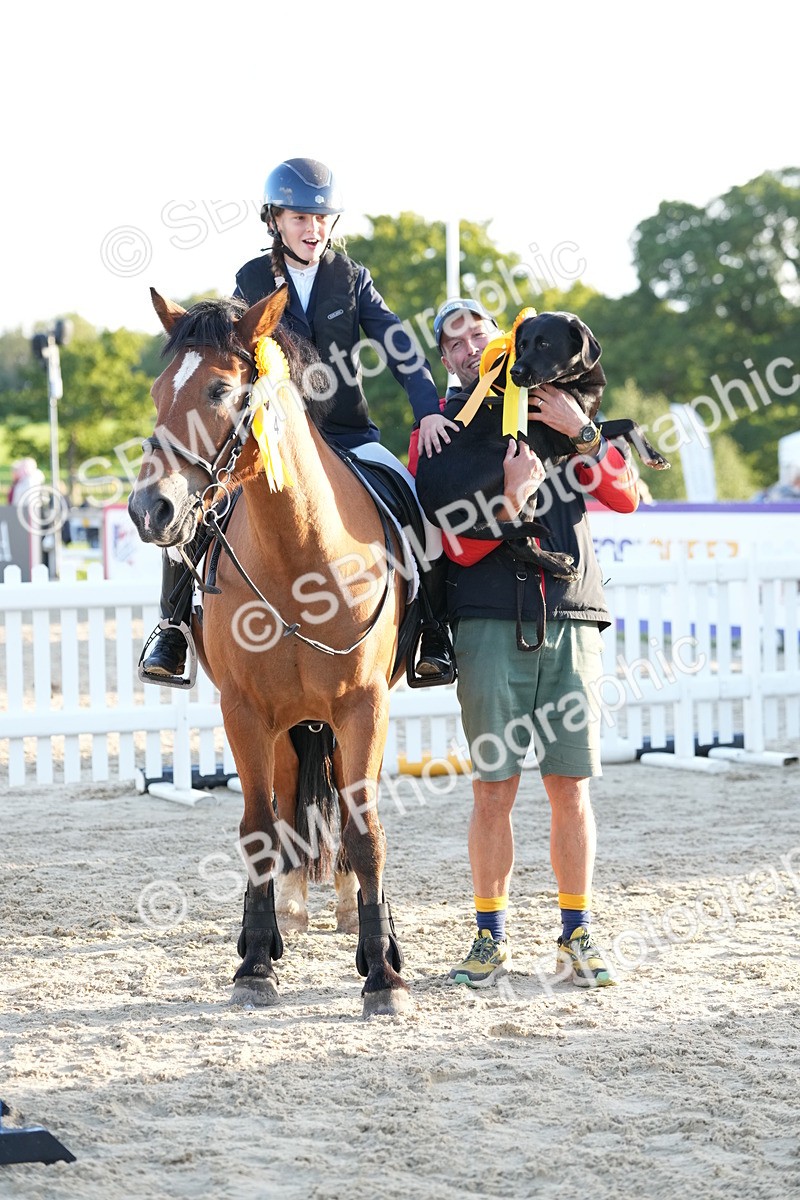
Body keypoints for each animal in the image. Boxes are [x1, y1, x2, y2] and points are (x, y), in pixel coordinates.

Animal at [128, 285, 410, 1018]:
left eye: (221, 389)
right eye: (155, 391)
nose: (148, 509)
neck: (297, 558)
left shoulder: (365, 706)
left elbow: (365, 830)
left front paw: (382, 971)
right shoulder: (247, 712)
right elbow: (258, 826)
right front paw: (255, 962)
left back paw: (349, 910)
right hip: (288, 722)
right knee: (287, 803)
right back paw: (286, 911)